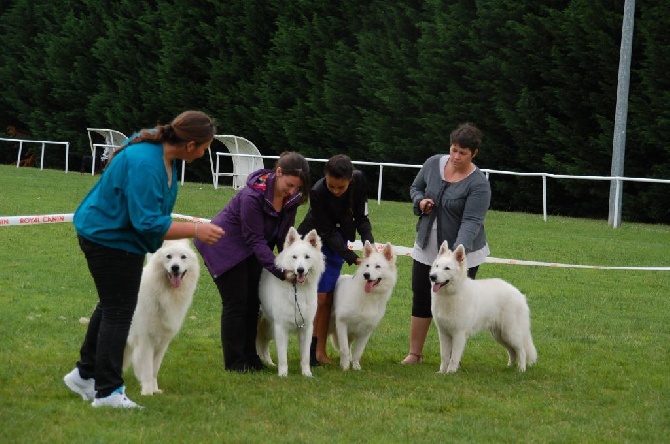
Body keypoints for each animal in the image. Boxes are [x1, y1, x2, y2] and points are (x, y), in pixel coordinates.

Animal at [123, 239, 201, 396]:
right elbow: (147, 369)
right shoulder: (146, 340)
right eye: (169, 256)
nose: (175, 267)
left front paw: (155, 389)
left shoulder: (163, 342)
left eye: (183, 257)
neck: (165, 293)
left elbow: (154, 369)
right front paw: (147, 392)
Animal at [258, 227, 326, 376]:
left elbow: (305, 356)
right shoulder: (280, 327)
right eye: (294, 257)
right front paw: (283, 374)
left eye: (307, 257)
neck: (297, 289)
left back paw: (269, 363)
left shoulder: (307, 327)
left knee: (264, 343)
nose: (300, 270)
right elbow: (283, 356)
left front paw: (307, 374)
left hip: (268, 326)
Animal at [332, 241, 400, 370]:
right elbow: (344, 349)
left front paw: (355, 366)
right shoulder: (342, 323)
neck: (369, 297)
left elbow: (358, 351)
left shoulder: (366, 330)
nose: (366, 275)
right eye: (367, 265)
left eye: (378, 266)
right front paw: (345, 368)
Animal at [430, 241, 540, 372]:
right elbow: (445, 356)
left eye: (447, 268)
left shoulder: (459, 334)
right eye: (437, 266)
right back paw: (510, 366)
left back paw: (521, 369)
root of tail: (519, 294)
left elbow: (454, 357)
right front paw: (442, 372)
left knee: (521, 350)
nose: (432, 276)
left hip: (511, 332)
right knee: (512, 351)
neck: (451, 294)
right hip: (500, 335)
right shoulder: (443, 333)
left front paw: (450, 372)